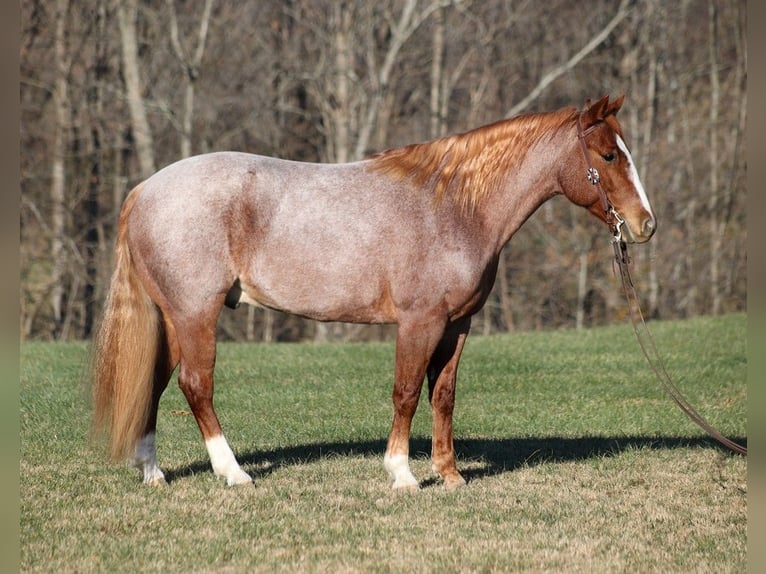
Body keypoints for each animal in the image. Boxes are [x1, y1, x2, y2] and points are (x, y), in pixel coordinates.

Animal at [88, 94, 656, 490]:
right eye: (609, 155)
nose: (644, 225)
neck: (454, 207)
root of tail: (145, 190)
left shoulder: (457, 324)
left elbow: (443, 395)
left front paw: (451, 475)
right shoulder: (420, 322)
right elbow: (406, 392)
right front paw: (402, 474)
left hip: (172, 317)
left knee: (155, 383)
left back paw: (153, 473)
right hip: (196, 314)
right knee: (195, 386)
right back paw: (234, 473)